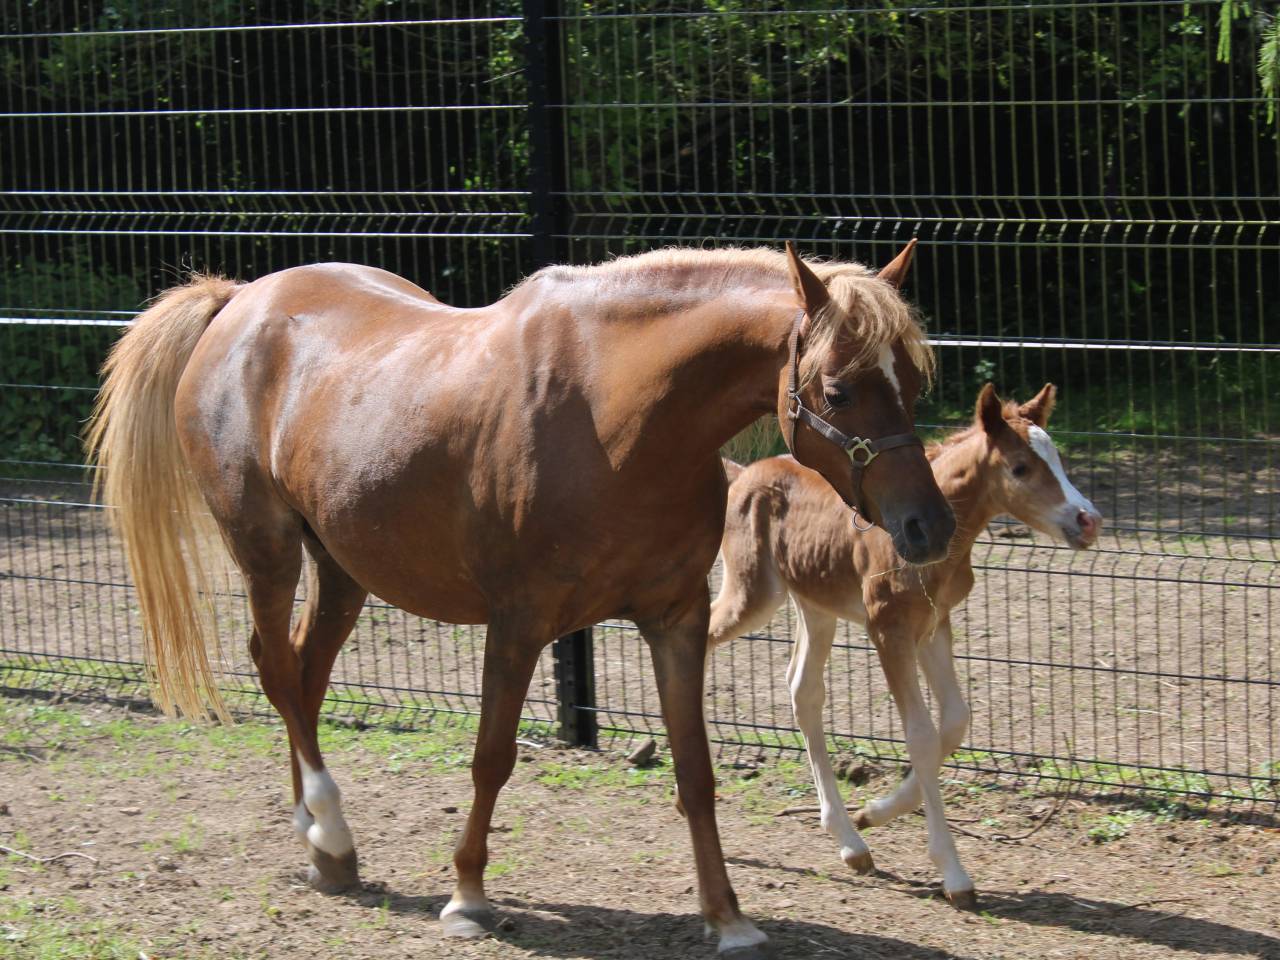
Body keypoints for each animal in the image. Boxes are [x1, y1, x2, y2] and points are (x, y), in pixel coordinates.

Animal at [86, 241, 957, 957]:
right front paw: (467, 895)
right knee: (275, 669)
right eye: (837, 391)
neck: (618, 417)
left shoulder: (674, 624)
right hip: (265, 549)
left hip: (341, 568)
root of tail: (239, 302)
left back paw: (318, 840)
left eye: (915, 380)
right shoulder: (519, 624)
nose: (929, 526)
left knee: (305, 675)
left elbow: (695, 771)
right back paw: (330, 832)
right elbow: (492, 758)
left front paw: (728, 916)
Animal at [707, 383, 1101, 909]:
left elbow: (954, 722)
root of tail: (743, 472)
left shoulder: (933, 625)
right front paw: (953, 872)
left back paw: (851, 843)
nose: (1089, 520)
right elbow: (920, 735)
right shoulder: (887, 627)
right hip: (753, 594)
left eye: (1057, 457)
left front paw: (874, 811)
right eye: (1020, 467)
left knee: (803, 690)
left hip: (815, 602)